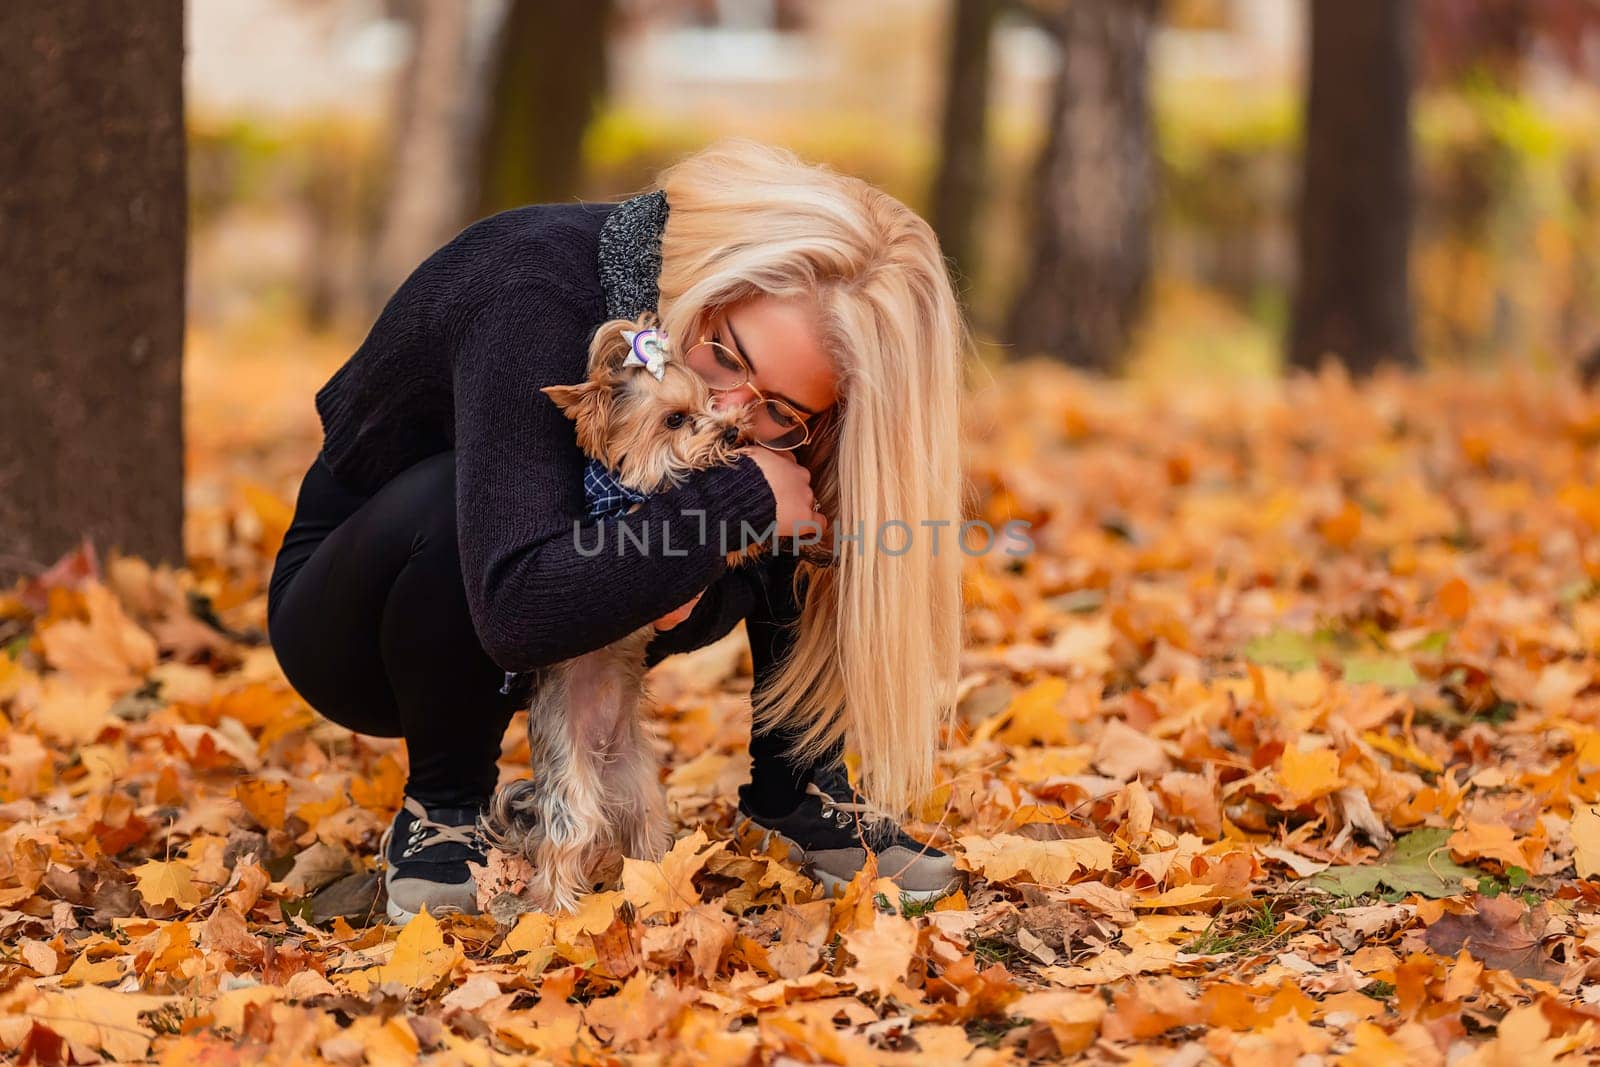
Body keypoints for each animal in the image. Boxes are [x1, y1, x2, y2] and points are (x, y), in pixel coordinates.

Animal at [476, 316, 752, 908]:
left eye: (710, 400)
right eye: (674, 419)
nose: (732, 432)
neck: (617, 483)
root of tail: (600, 761)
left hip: (640, 785)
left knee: (645, 834)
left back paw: (660, 889)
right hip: (573, 798)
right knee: (562, 848)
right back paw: (556, 912)